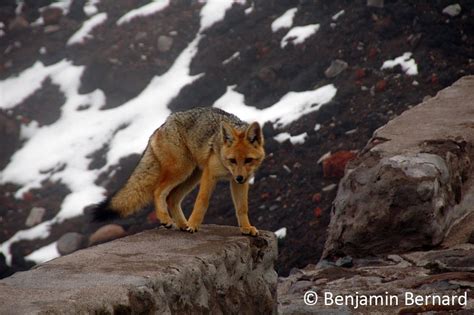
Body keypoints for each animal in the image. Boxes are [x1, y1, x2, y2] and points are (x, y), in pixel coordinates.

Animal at [92, 107, 262, 236]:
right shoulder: (210, 175)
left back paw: (183, 225)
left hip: (192, 176)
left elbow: (242, 207)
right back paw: (170, 221)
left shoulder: (238, 182)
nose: (240, 177)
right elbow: (201, 201)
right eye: (232, 160)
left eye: (248, 160)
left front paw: (246, 228)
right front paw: (194, 225)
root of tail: (162, 125)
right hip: (182, 171)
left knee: (172, 198)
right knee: (158, 191)